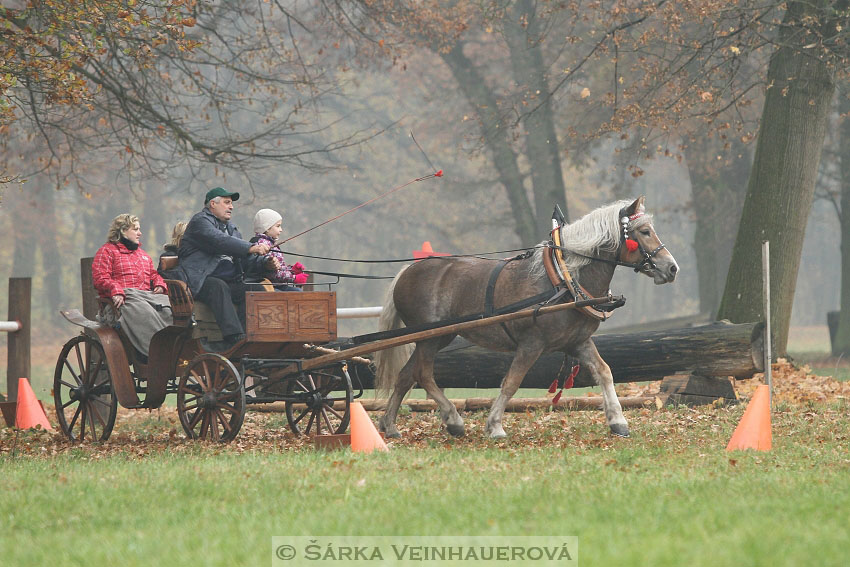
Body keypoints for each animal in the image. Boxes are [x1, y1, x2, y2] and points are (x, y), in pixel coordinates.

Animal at [374, 197, 680, 442]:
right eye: (644, 231)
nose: (672, 268)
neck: (565, 277)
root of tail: (406, 272)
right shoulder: (532, 344)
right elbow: (512, 381)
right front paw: (495, 426)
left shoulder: (578, 341)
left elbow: (604, 372)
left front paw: (618, 422)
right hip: (430, 338)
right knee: (423, 375)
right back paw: (453, 420)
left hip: (437, 337)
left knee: (406, 376)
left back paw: (390, 426)